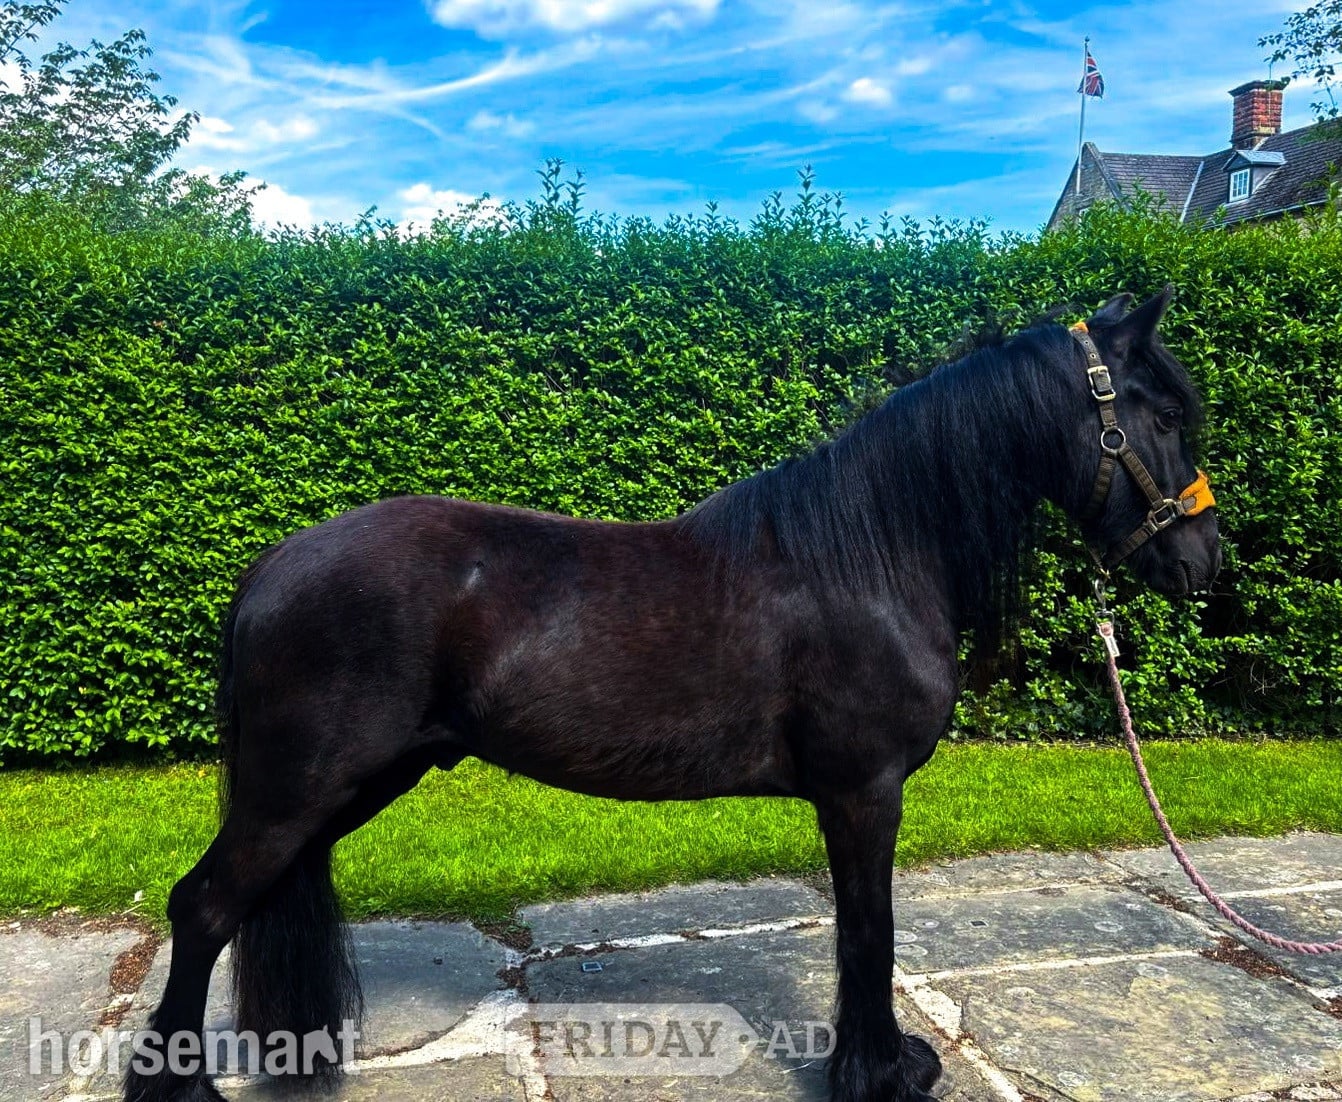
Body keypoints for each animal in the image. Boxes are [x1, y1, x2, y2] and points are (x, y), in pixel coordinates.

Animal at [124, 286, 1221, 1102]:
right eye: (1162, 414)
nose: (1203, 560)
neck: (867, 553)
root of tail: (272, 564)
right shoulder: (863, 791)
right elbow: (868, 931)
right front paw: (878, 1073)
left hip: (348, 785)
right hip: (295, 789)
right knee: (202, 907)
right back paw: (179, 1083)